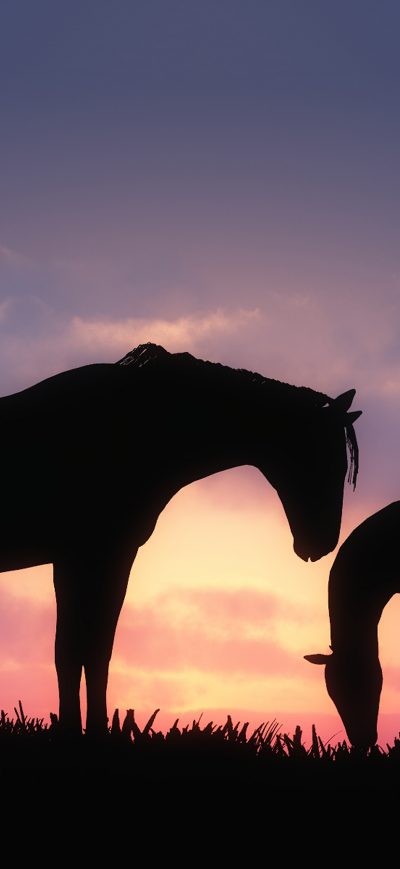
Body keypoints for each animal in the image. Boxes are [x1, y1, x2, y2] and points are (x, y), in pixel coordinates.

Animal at [0, 342, 361, 735]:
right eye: (322, 459)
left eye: (344, 466)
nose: (323, 543)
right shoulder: (89, 555)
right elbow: (78, 649)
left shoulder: (90, 558)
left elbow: (87, 649)